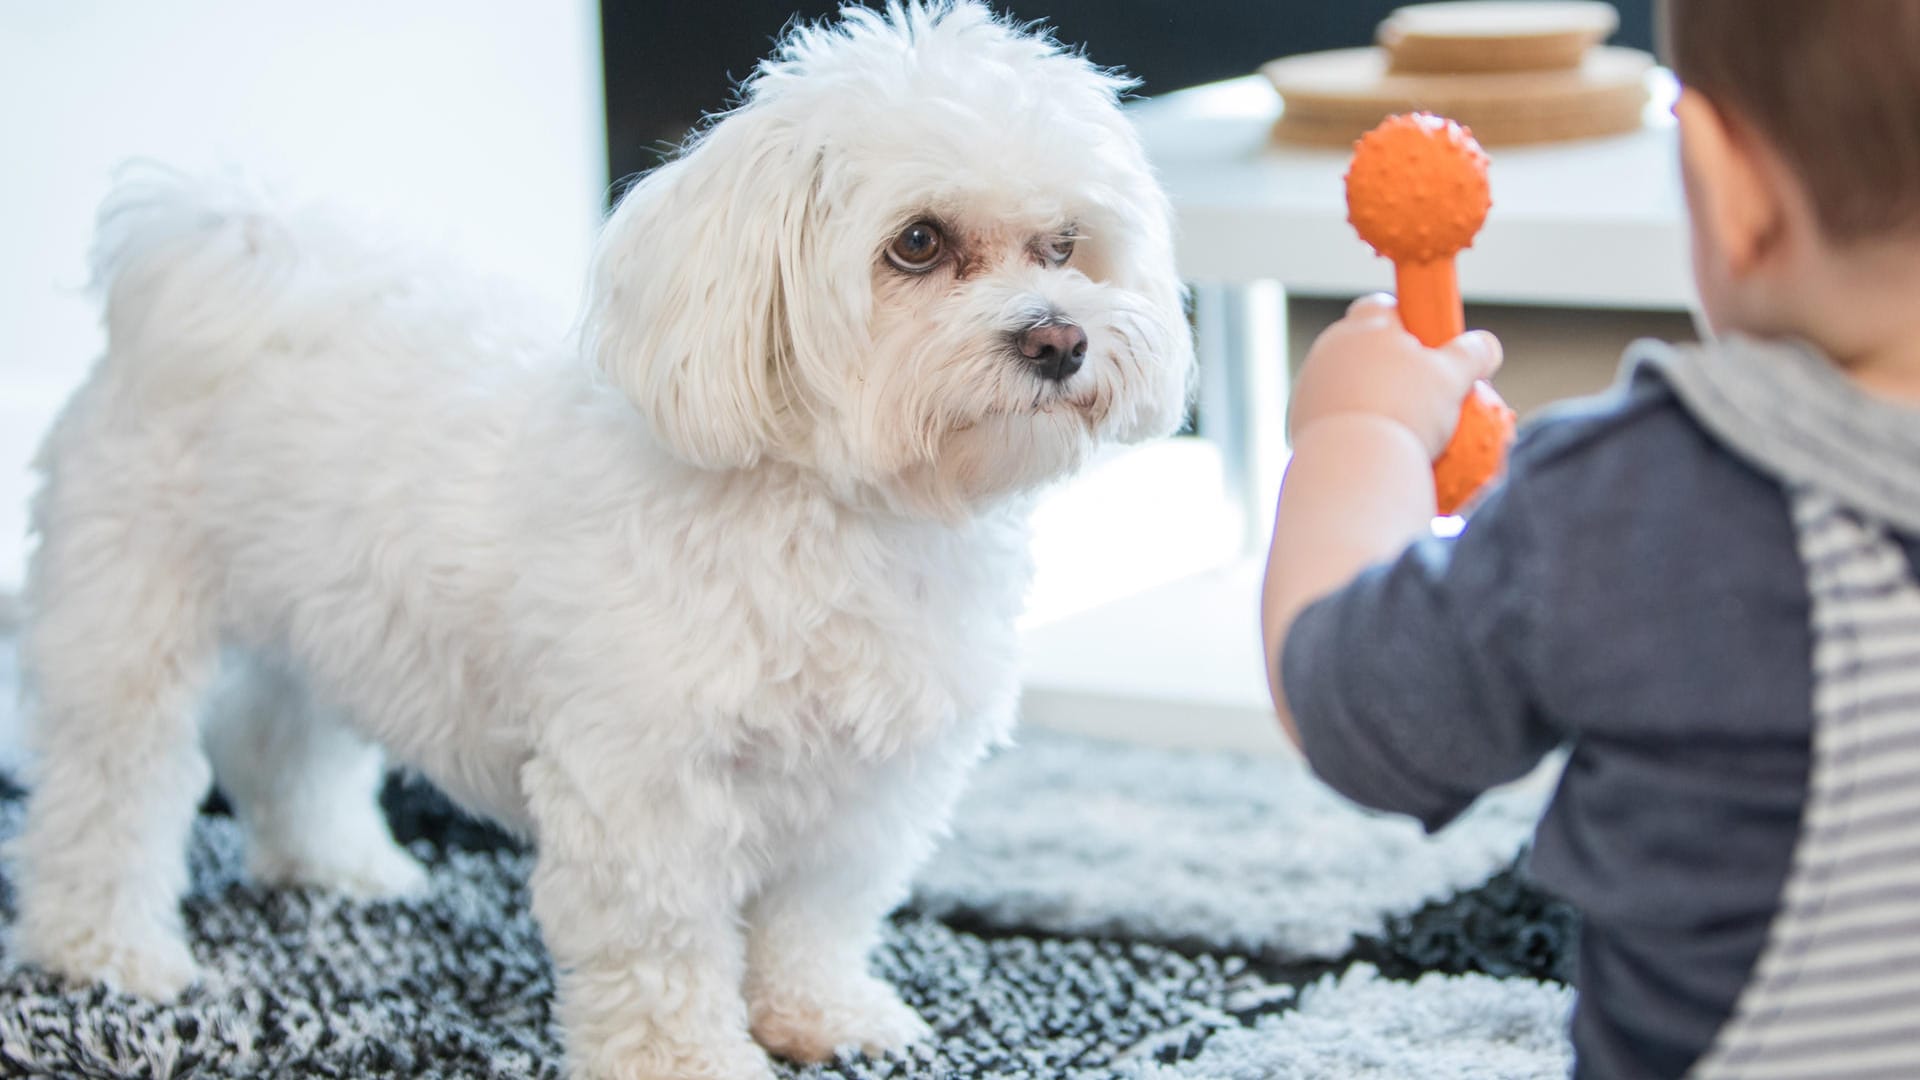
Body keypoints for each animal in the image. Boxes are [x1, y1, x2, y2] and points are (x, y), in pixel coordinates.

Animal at [7, 4, 1190, 1068]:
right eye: (917, 242)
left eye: (1066, 245)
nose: (1060, 338)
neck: (840, 514)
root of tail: (218, 249)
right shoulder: (645, 794)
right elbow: (662, 959)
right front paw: (692, 1064)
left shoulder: (869, 791)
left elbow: (814, 919)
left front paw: (826, 1019)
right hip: (128, 627)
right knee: (110, 795)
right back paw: (107, 956)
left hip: (326, 615)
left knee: (277, 737)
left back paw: (340, 869)